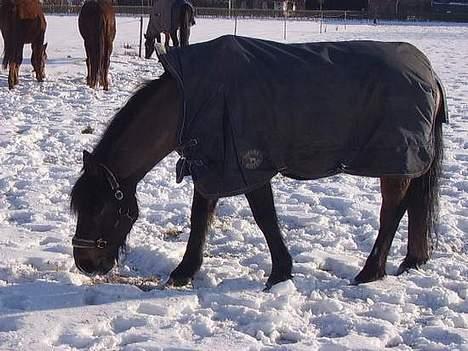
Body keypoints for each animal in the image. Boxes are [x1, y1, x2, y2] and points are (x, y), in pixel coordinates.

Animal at [71, 35, 448, 290]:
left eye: (101, 208)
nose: (85, 263)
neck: (191, 98)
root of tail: (429, 73)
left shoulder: (248, 166)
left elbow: (264, 218)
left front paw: (280, 272)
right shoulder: (213, 165)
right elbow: (199, 218)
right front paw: (184, 271)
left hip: (395, 161)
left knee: (392, 211)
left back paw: (371, 272)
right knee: (413, 205)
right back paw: (412, 260)